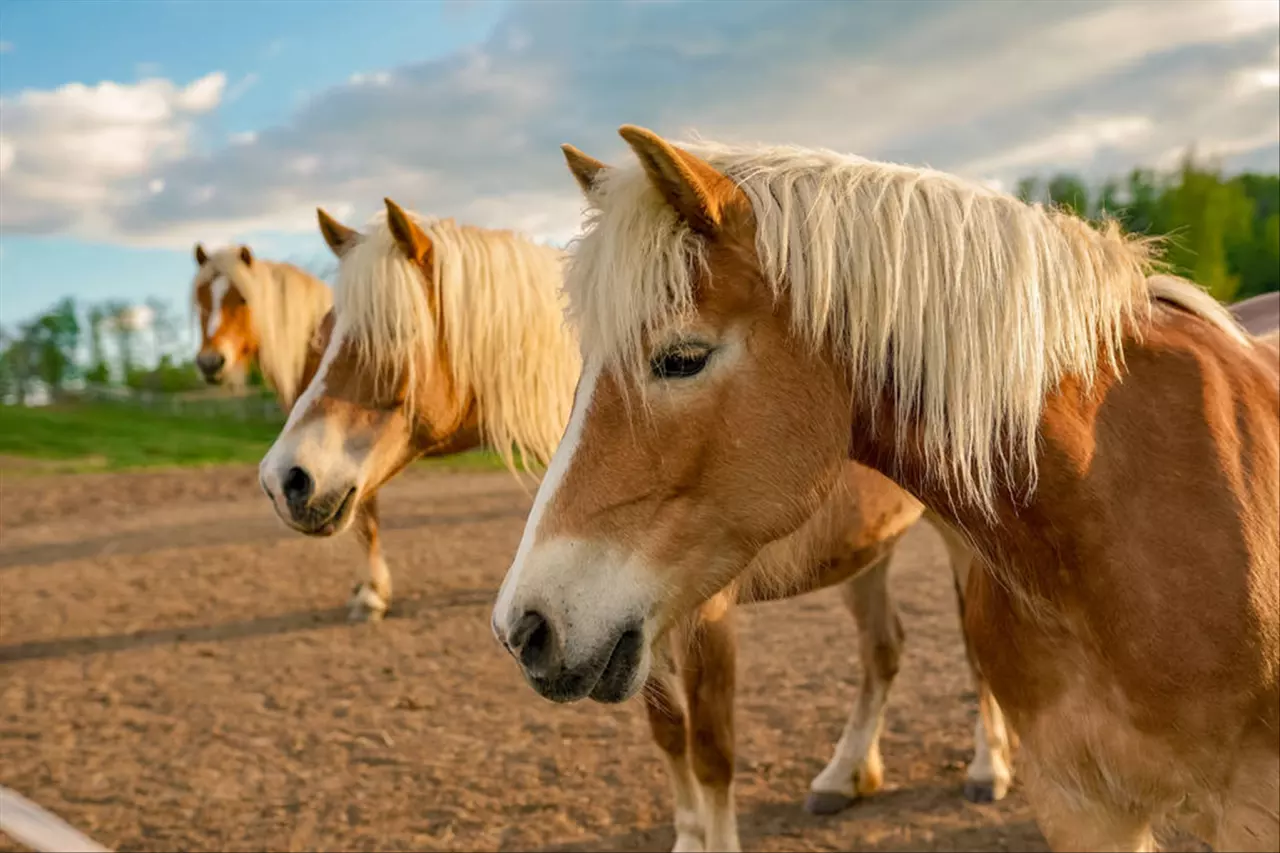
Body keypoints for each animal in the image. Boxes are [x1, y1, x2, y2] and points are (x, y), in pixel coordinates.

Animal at [259, 195, 1013, 845]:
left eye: (387, 343)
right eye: (321, 341)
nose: (285, 479)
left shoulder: (699, 614)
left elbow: (710, 749)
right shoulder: (622, 623)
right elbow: (668, 733)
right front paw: (688, 836)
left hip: (964, 542)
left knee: (976, 652)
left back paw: (988, 767)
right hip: (867, 552)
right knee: (883, 650)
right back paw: (846, 775)